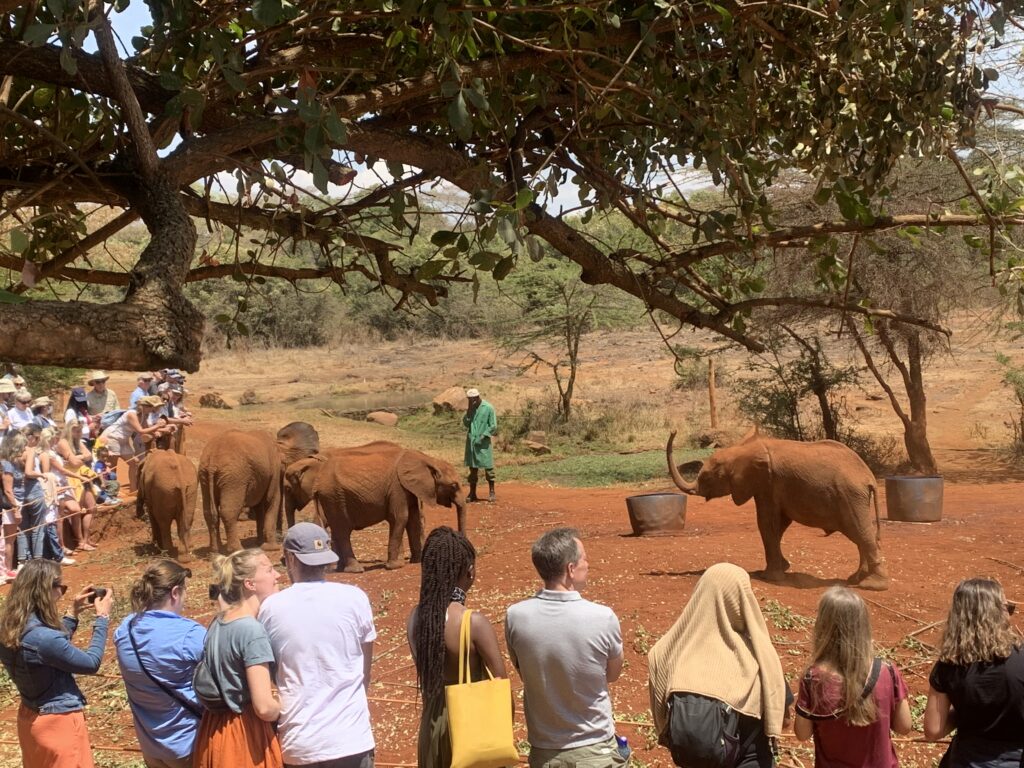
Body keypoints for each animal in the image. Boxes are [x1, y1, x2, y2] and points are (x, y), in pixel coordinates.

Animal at [199, 422, 319, 553]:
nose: (281, 538)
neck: (281, 445)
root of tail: (212, 461)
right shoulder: (274, 469)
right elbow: (271, 500)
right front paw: (272, 548)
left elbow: (259, 506)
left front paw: (259, 543)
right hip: (234, 478)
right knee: (228, 511)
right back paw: (236, 549)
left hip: (204, 475)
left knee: (208, 512)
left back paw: (215, 551)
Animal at [307, 441, 467, 572]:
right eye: (454, 486)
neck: (427, 459)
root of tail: (317, 485)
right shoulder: (397, 488)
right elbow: (401, 517)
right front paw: (395, 566)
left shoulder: (407, 488)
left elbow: (413, 520)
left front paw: (417, 561)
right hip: (335, 496)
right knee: (343, 531)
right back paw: (355, 569)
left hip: (332, 498)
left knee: (336, 529)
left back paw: (340, 569)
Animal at [666, 429, 888, 591]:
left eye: (706, 478)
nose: (673, 431)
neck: (742, 448)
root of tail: (869, 477)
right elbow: (779, 525)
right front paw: (782, 568)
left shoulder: (767, 482)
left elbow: (767, 523)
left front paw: (770, 577)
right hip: (853, 498)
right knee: (860, 535)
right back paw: (855, 579)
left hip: (850, 497)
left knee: (861, 533)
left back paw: (872, 585)